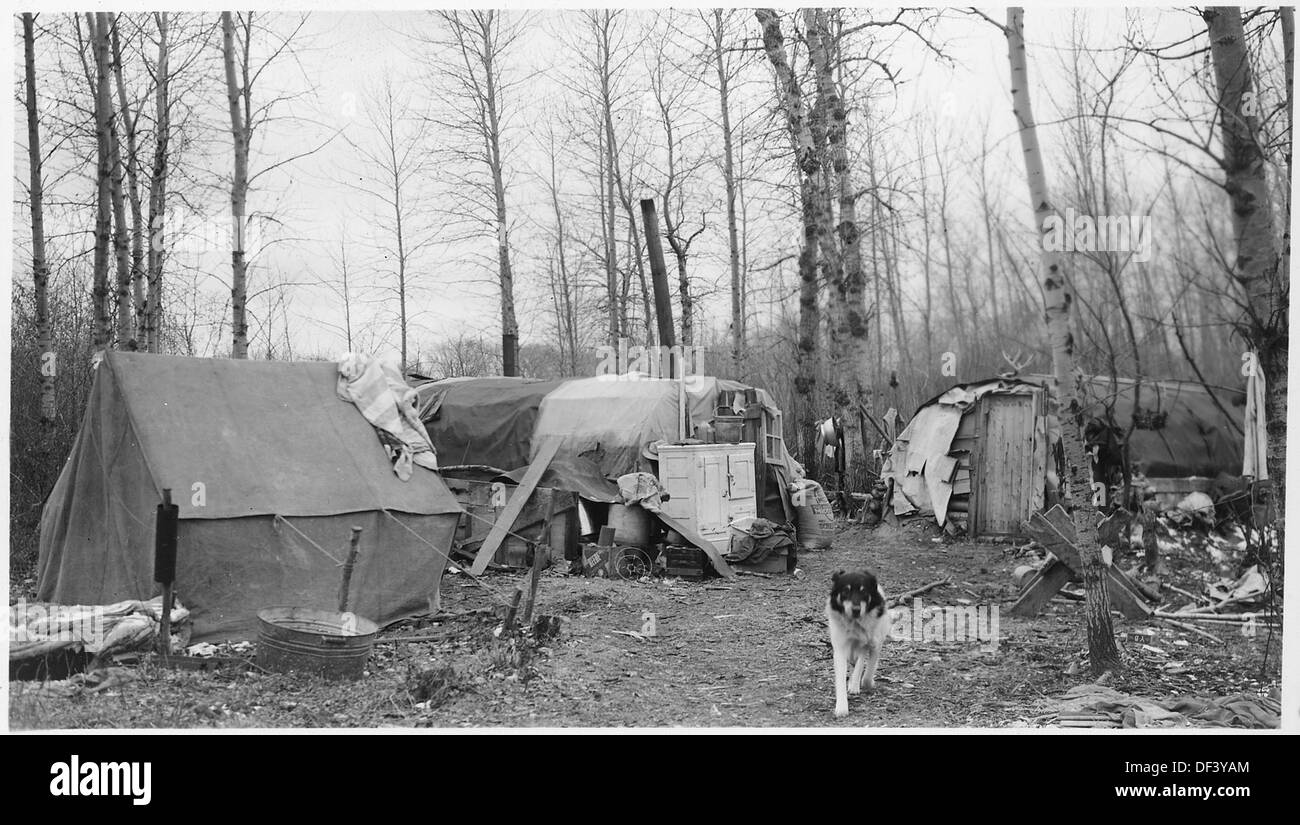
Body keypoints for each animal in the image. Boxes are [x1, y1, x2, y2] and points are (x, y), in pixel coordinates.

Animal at [826, 571, 889, 722]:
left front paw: (865, 683)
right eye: (845, 591)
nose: (856, 610)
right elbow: (841, 677)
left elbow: (866, 671)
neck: (855, 624)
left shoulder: (873, 643)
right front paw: (841, 708)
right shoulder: (840, 648)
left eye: (864, 591)